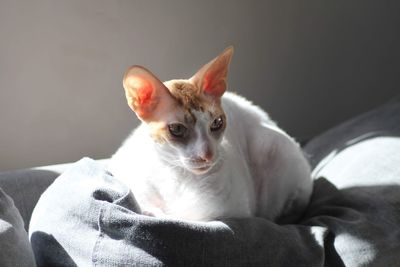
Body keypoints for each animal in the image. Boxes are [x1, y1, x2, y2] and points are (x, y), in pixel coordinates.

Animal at [108, 47, 312, 223]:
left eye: (217, 123)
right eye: (177, 129)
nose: (208, 155)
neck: (177, 177)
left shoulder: (231, 212)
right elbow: (147, 209)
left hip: (272, 152)